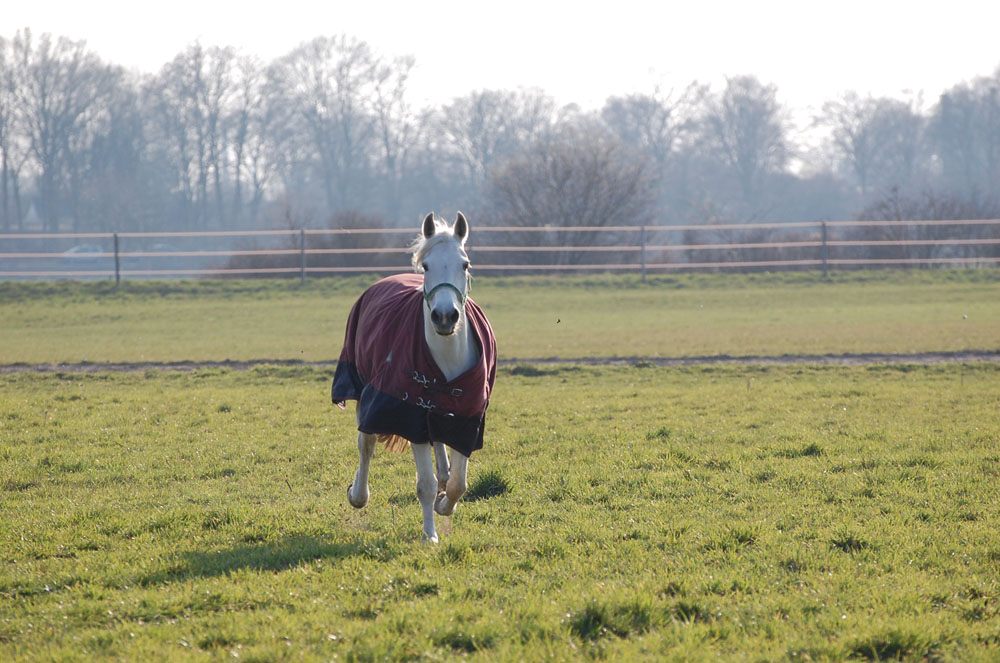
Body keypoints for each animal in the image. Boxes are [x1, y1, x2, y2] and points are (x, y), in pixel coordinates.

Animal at [332, 213, 496, 544]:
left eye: (465, 264)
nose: (445, 316)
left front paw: (445, 505)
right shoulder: (413, 417)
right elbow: (425, 484)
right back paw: (358, 494)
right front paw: (429, 535)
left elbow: (459, 483)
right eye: (426, 266)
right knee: (366, 444)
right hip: (364, 391)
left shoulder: (467, 417)